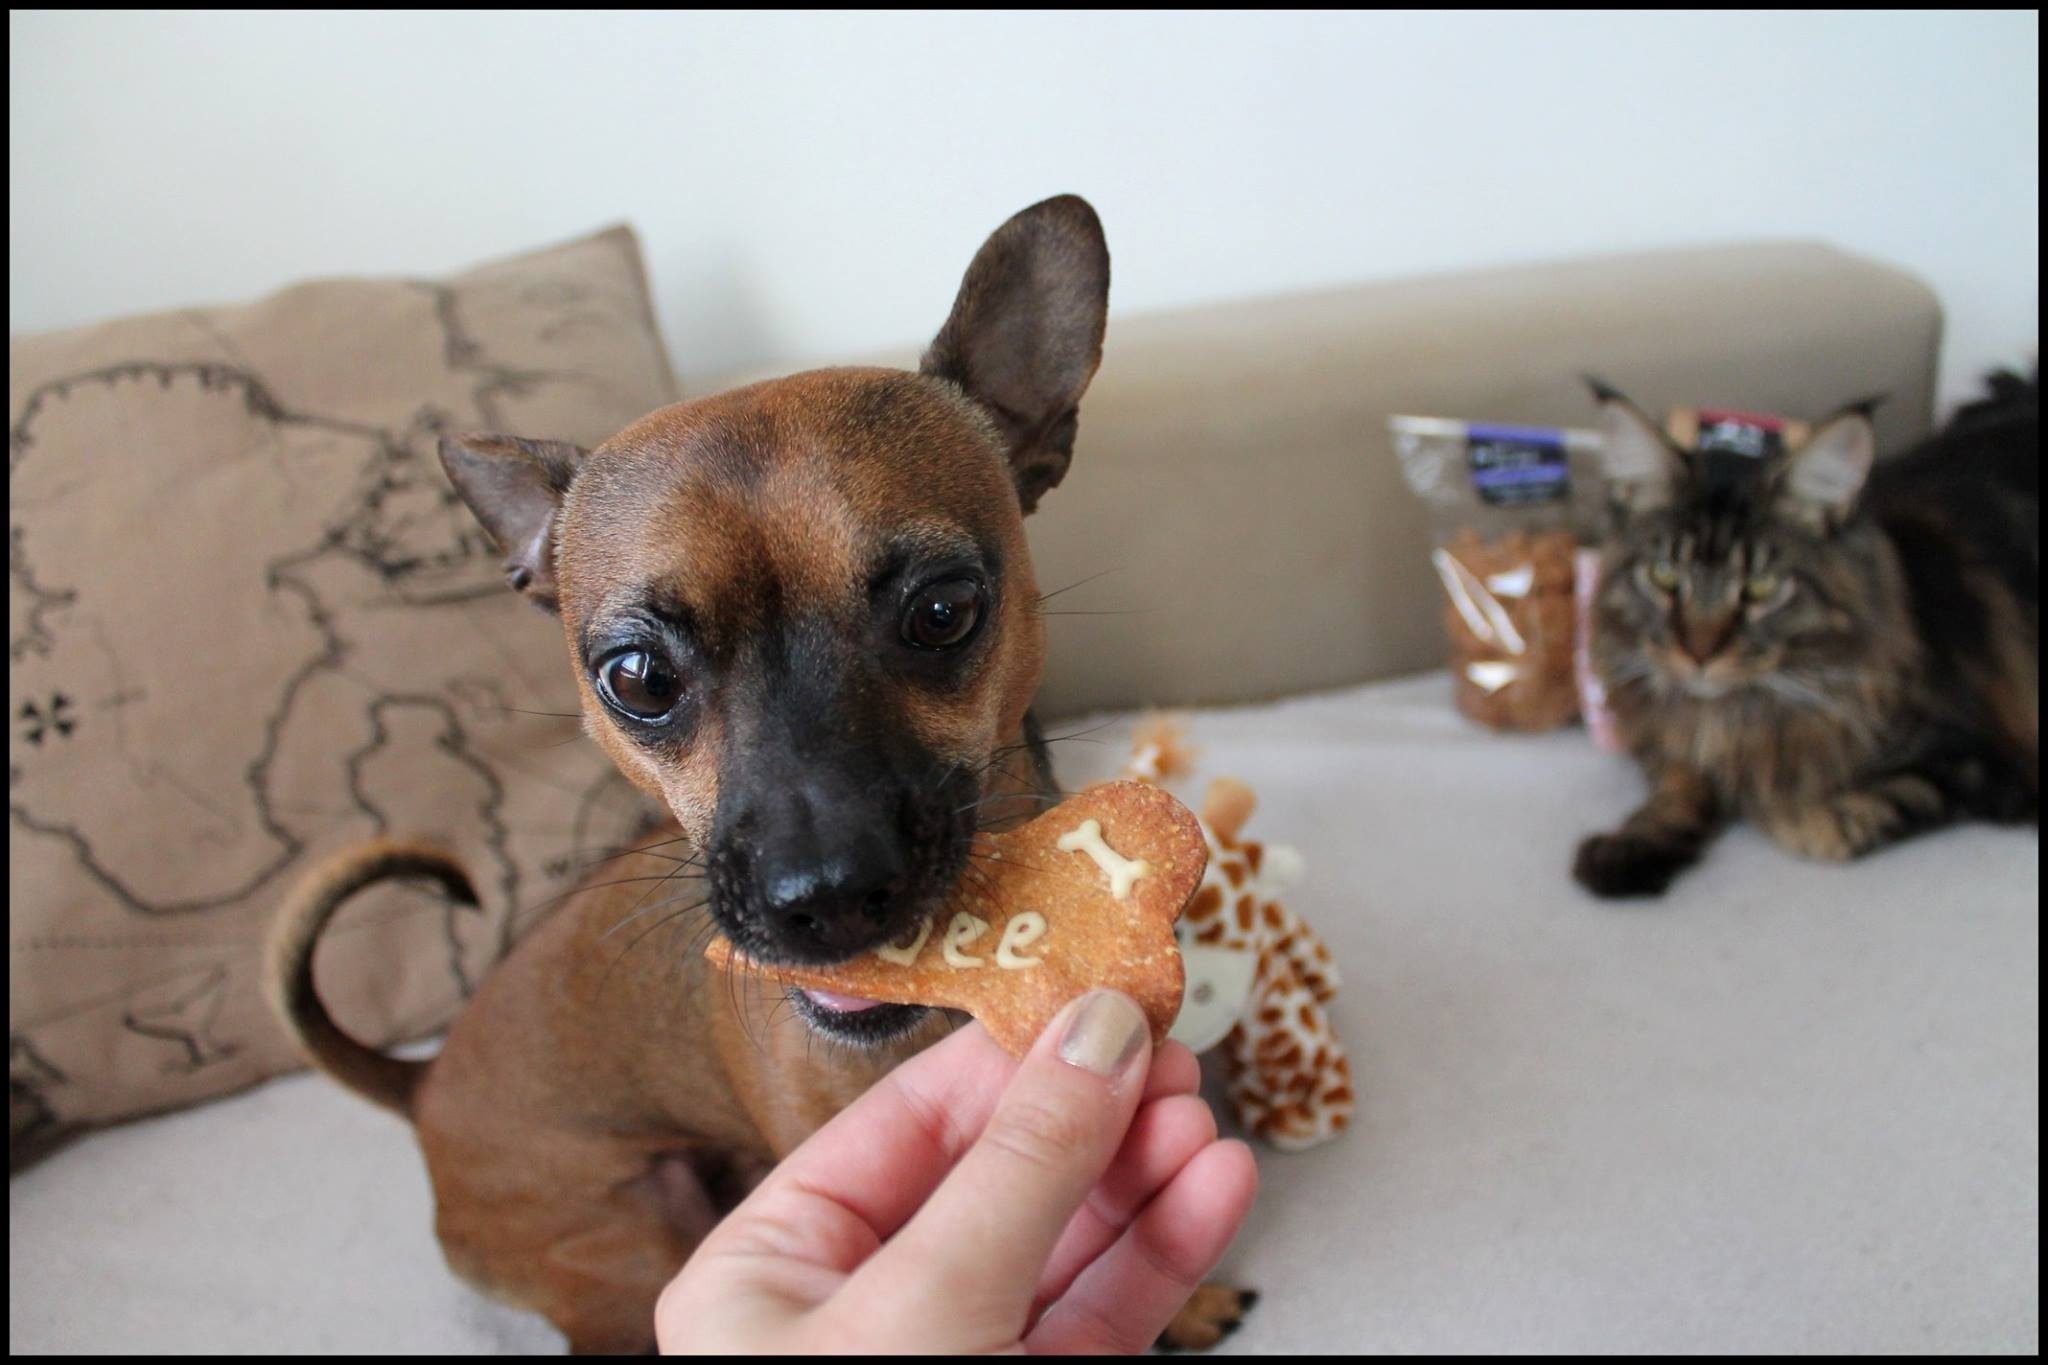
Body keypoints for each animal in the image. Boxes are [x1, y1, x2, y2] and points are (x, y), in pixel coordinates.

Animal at [1581, 370, 2031, 896]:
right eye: (1664, 575)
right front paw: (1635, 843)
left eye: (1761, 586)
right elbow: (1680, 782)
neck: (1738, 714)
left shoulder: (1979, 761)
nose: (1698, 654)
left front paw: (1772, 803)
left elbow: (1827, 821)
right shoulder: (1673, 739)